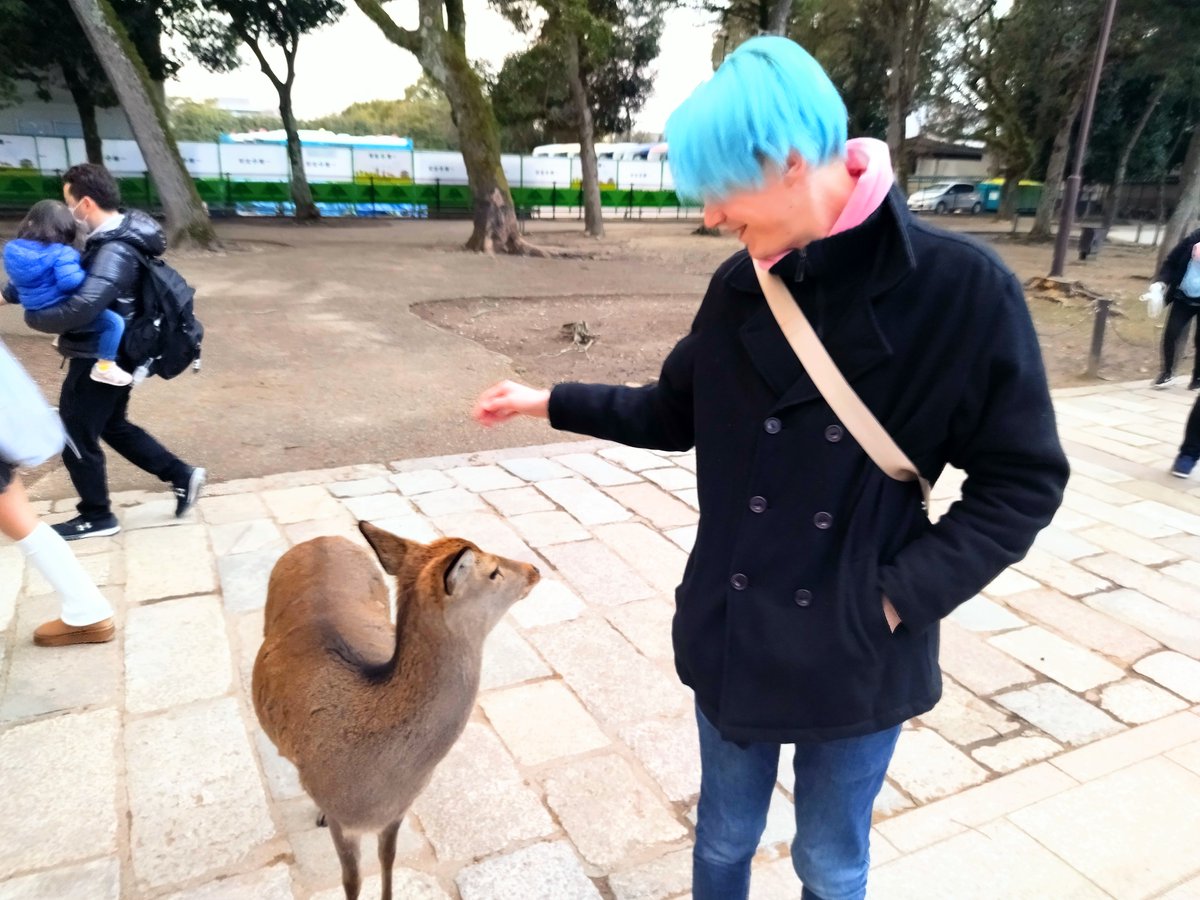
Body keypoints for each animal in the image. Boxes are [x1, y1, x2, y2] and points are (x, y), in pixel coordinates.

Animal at [251, 521, 540, 900]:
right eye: (493, 571)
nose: (534, 569)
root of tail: (321, 538)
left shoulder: (398, 811)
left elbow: (388, 859)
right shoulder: (346, 822)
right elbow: (352, 881)